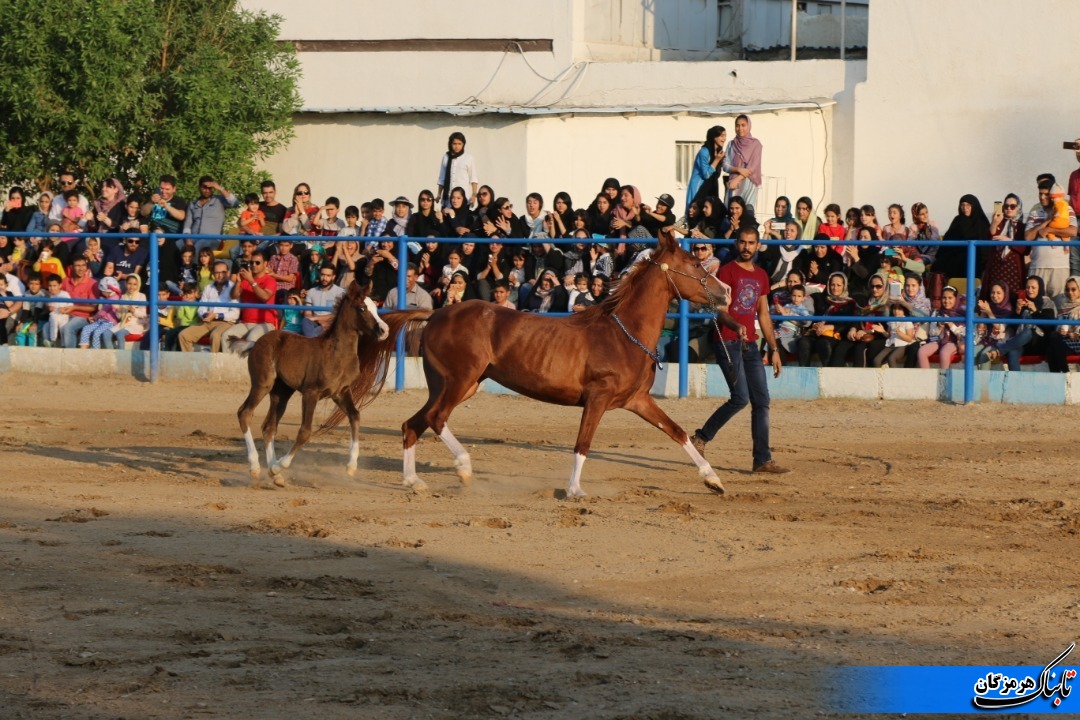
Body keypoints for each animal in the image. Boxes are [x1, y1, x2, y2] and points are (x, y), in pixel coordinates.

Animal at [235, 280, 390, 486]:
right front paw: (280, 465)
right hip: (262, 384)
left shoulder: (340, 392)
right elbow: (305, 431)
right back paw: (256, 468)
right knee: (245, 413)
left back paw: (275, 476)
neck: (337, 355)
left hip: (281, 393)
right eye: (362, 308)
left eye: (375, 307)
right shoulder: (311, 393)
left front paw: (351, 467)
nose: (384, 330)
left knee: (269, 427)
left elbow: (355, 416)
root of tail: (255, 343)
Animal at [333, 229, 738, 497]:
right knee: (434, 419)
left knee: (412, 425)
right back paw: (463, 468)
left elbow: (677, 431)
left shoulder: (637, 400)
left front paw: (713, 479)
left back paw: (413, 481)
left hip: (454, 385)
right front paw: (574, 490)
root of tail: (435, 314)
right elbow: (582, 443)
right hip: (459, 381)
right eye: (693, 263)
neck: (623, 332)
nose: (727, 292)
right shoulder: (598, 399)